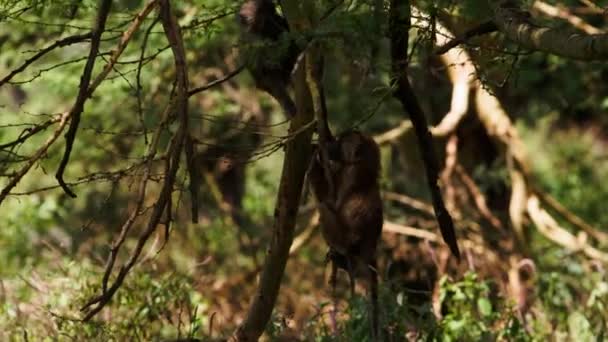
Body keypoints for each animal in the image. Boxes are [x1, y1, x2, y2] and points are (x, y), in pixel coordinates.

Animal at [306, 129, 382, 340]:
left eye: (342, 141)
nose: (331, 143)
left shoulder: (348, 175)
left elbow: (328, 200)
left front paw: (316, 160)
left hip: (343, 237)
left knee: (324, 210)